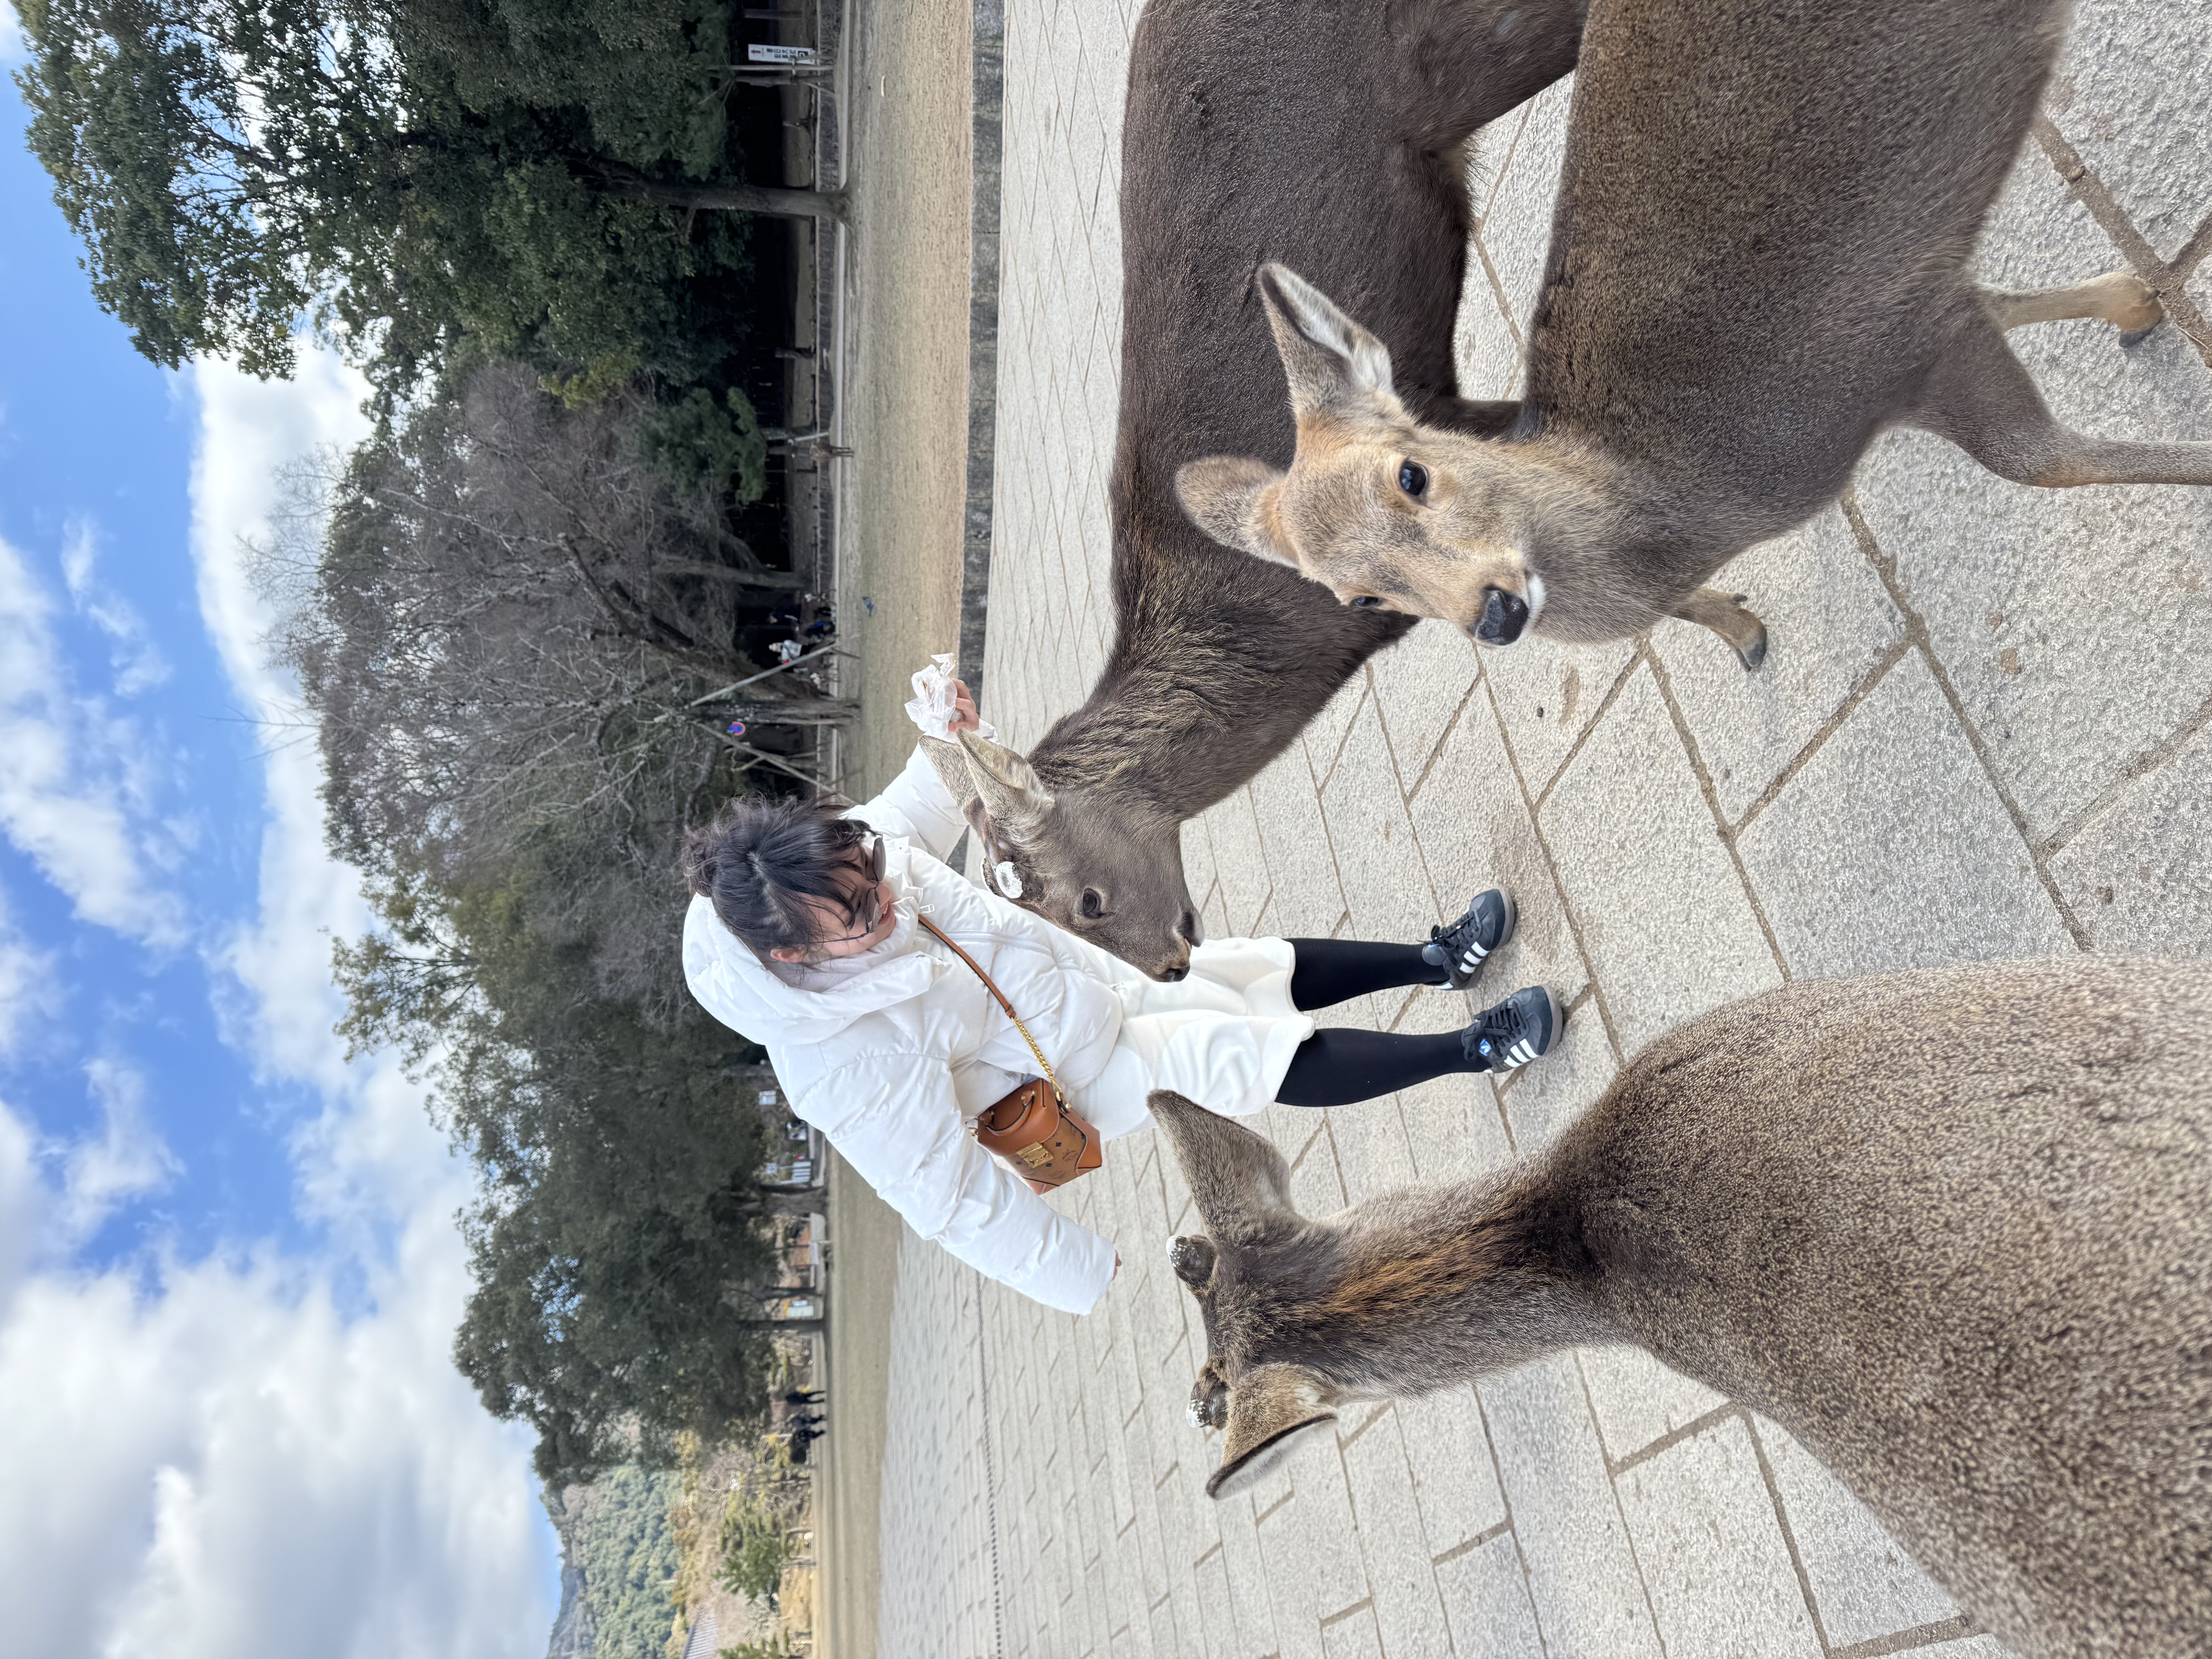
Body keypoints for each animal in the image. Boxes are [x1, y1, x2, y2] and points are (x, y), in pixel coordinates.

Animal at [1174, 0, 2212, 672]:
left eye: (1413, 474)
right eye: (1361, 599)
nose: (1496, 614)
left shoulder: (1884, 346)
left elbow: (2043, 458)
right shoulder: (1918, 299)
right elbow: (2005, 312)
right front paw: (2138, 300)